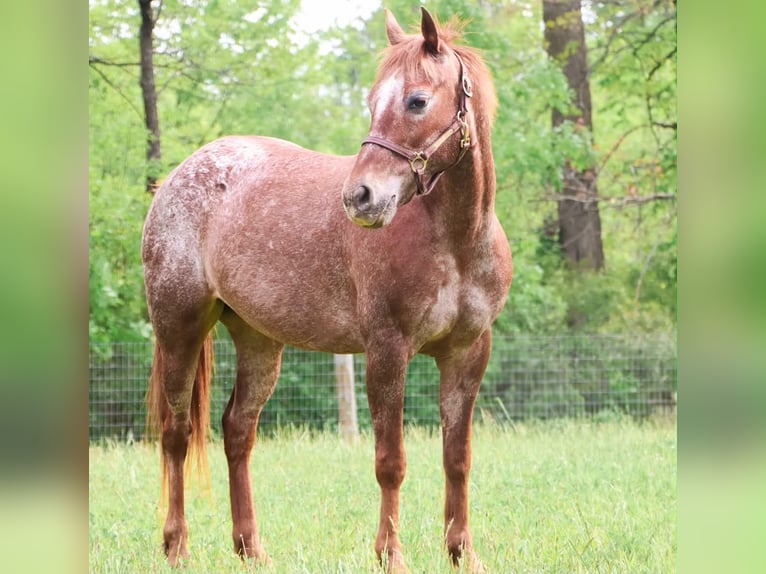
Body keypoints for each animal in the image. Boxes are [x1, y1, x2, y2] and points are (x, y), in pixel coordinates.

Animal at [142, 7, 512, 572]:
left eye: (417, 100)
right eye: (372, 100)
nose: (360, 196)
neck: (456, 239)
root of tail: (175, 180)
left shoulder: (468, 353)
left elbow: (457, 459)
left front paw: (462, 554)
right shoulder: (387, 350)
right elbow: (390, 461)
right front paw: (390, 555)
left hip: (258, 341)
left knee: (237, 431)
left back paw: (251, 549)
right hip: (179, 329)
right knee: (177, 433)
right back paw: (177, 547)